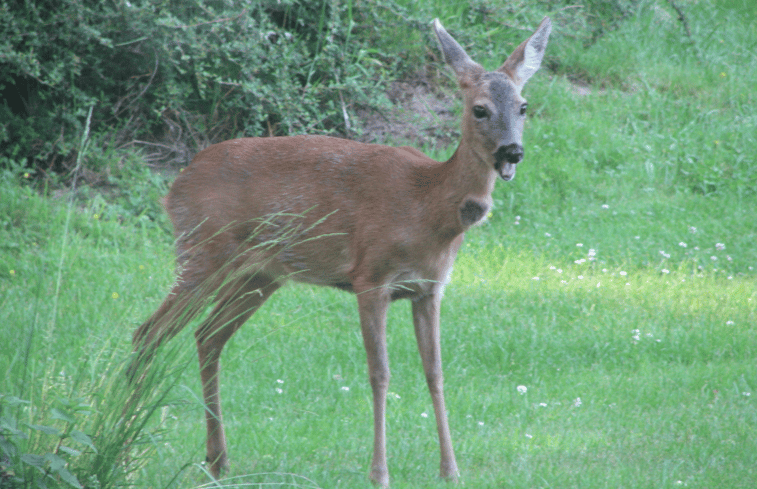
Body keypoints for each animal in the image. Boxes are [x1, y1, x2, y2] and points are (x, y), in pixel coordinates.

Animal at [131, 17, 548, 486]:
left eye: (523, 106)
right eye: (479, 109)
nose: (512, 151)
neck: (428, 206)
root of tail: (174, 188)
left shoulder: (429, 288)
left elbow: (435, 372)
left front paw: (450, 470)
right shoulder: (370, 276)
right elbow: (380, 373)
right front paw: (380, 472)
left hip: (260, 274)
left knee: (206, 336)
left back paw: (217, 459)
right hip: (202, 250)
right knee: (149, 332)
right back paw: (125, 442)